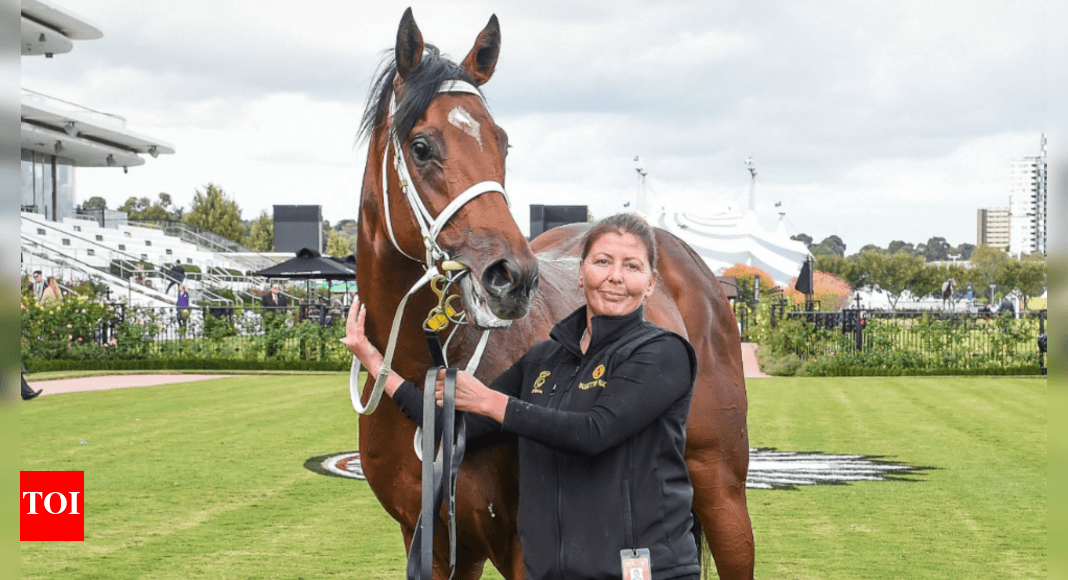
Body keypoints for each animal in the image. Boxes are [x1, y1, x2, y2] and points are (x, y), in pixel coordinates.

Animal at [353, 9, 754, 579]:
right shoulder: (434, 541)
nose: (512, 276)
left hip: (722, 491)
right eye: (422, 146)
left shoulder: (524, 549)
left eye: (501, 142)